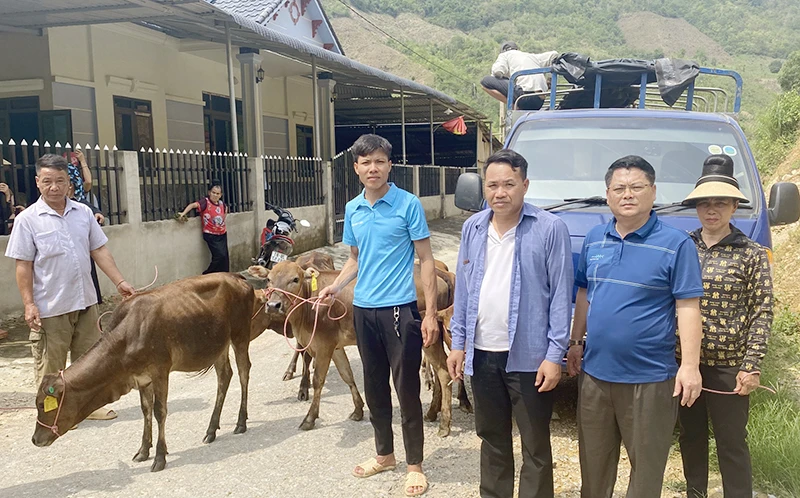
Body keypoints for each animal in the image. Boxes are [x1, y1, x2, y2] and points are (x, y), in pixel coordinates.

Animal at [32, 274, 253, 472]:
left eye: (43, 405)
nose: (35, 439)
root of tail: (238, 277)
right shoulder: (142, 378)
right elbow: (146, 410)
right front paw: (144, 451)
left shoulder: (160, 371)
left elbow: (159, 411)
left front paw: (160, 457)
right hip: (218, 346)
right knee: (224, 376)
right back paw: (211, 430)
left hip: (240, 336)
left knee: (244, 372)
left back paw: (241, 422)